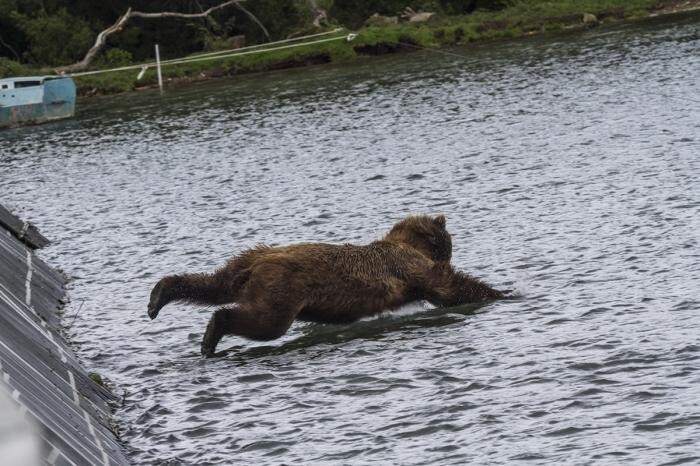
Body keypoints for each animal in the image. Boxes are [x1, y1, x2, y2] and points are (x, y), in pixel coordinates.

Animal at [148, 213, 504, 354]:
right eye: (448, 242)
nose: (451, 251)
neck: (408, 243)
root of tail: (260, 264)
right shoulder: (406, 266)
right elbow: (448, 287)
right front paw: (502, 292)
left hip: (244, 262)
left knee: (212, 284)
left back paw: (158, 296)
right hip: (284, 290)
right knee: (262, 322)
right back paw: (212, 333)